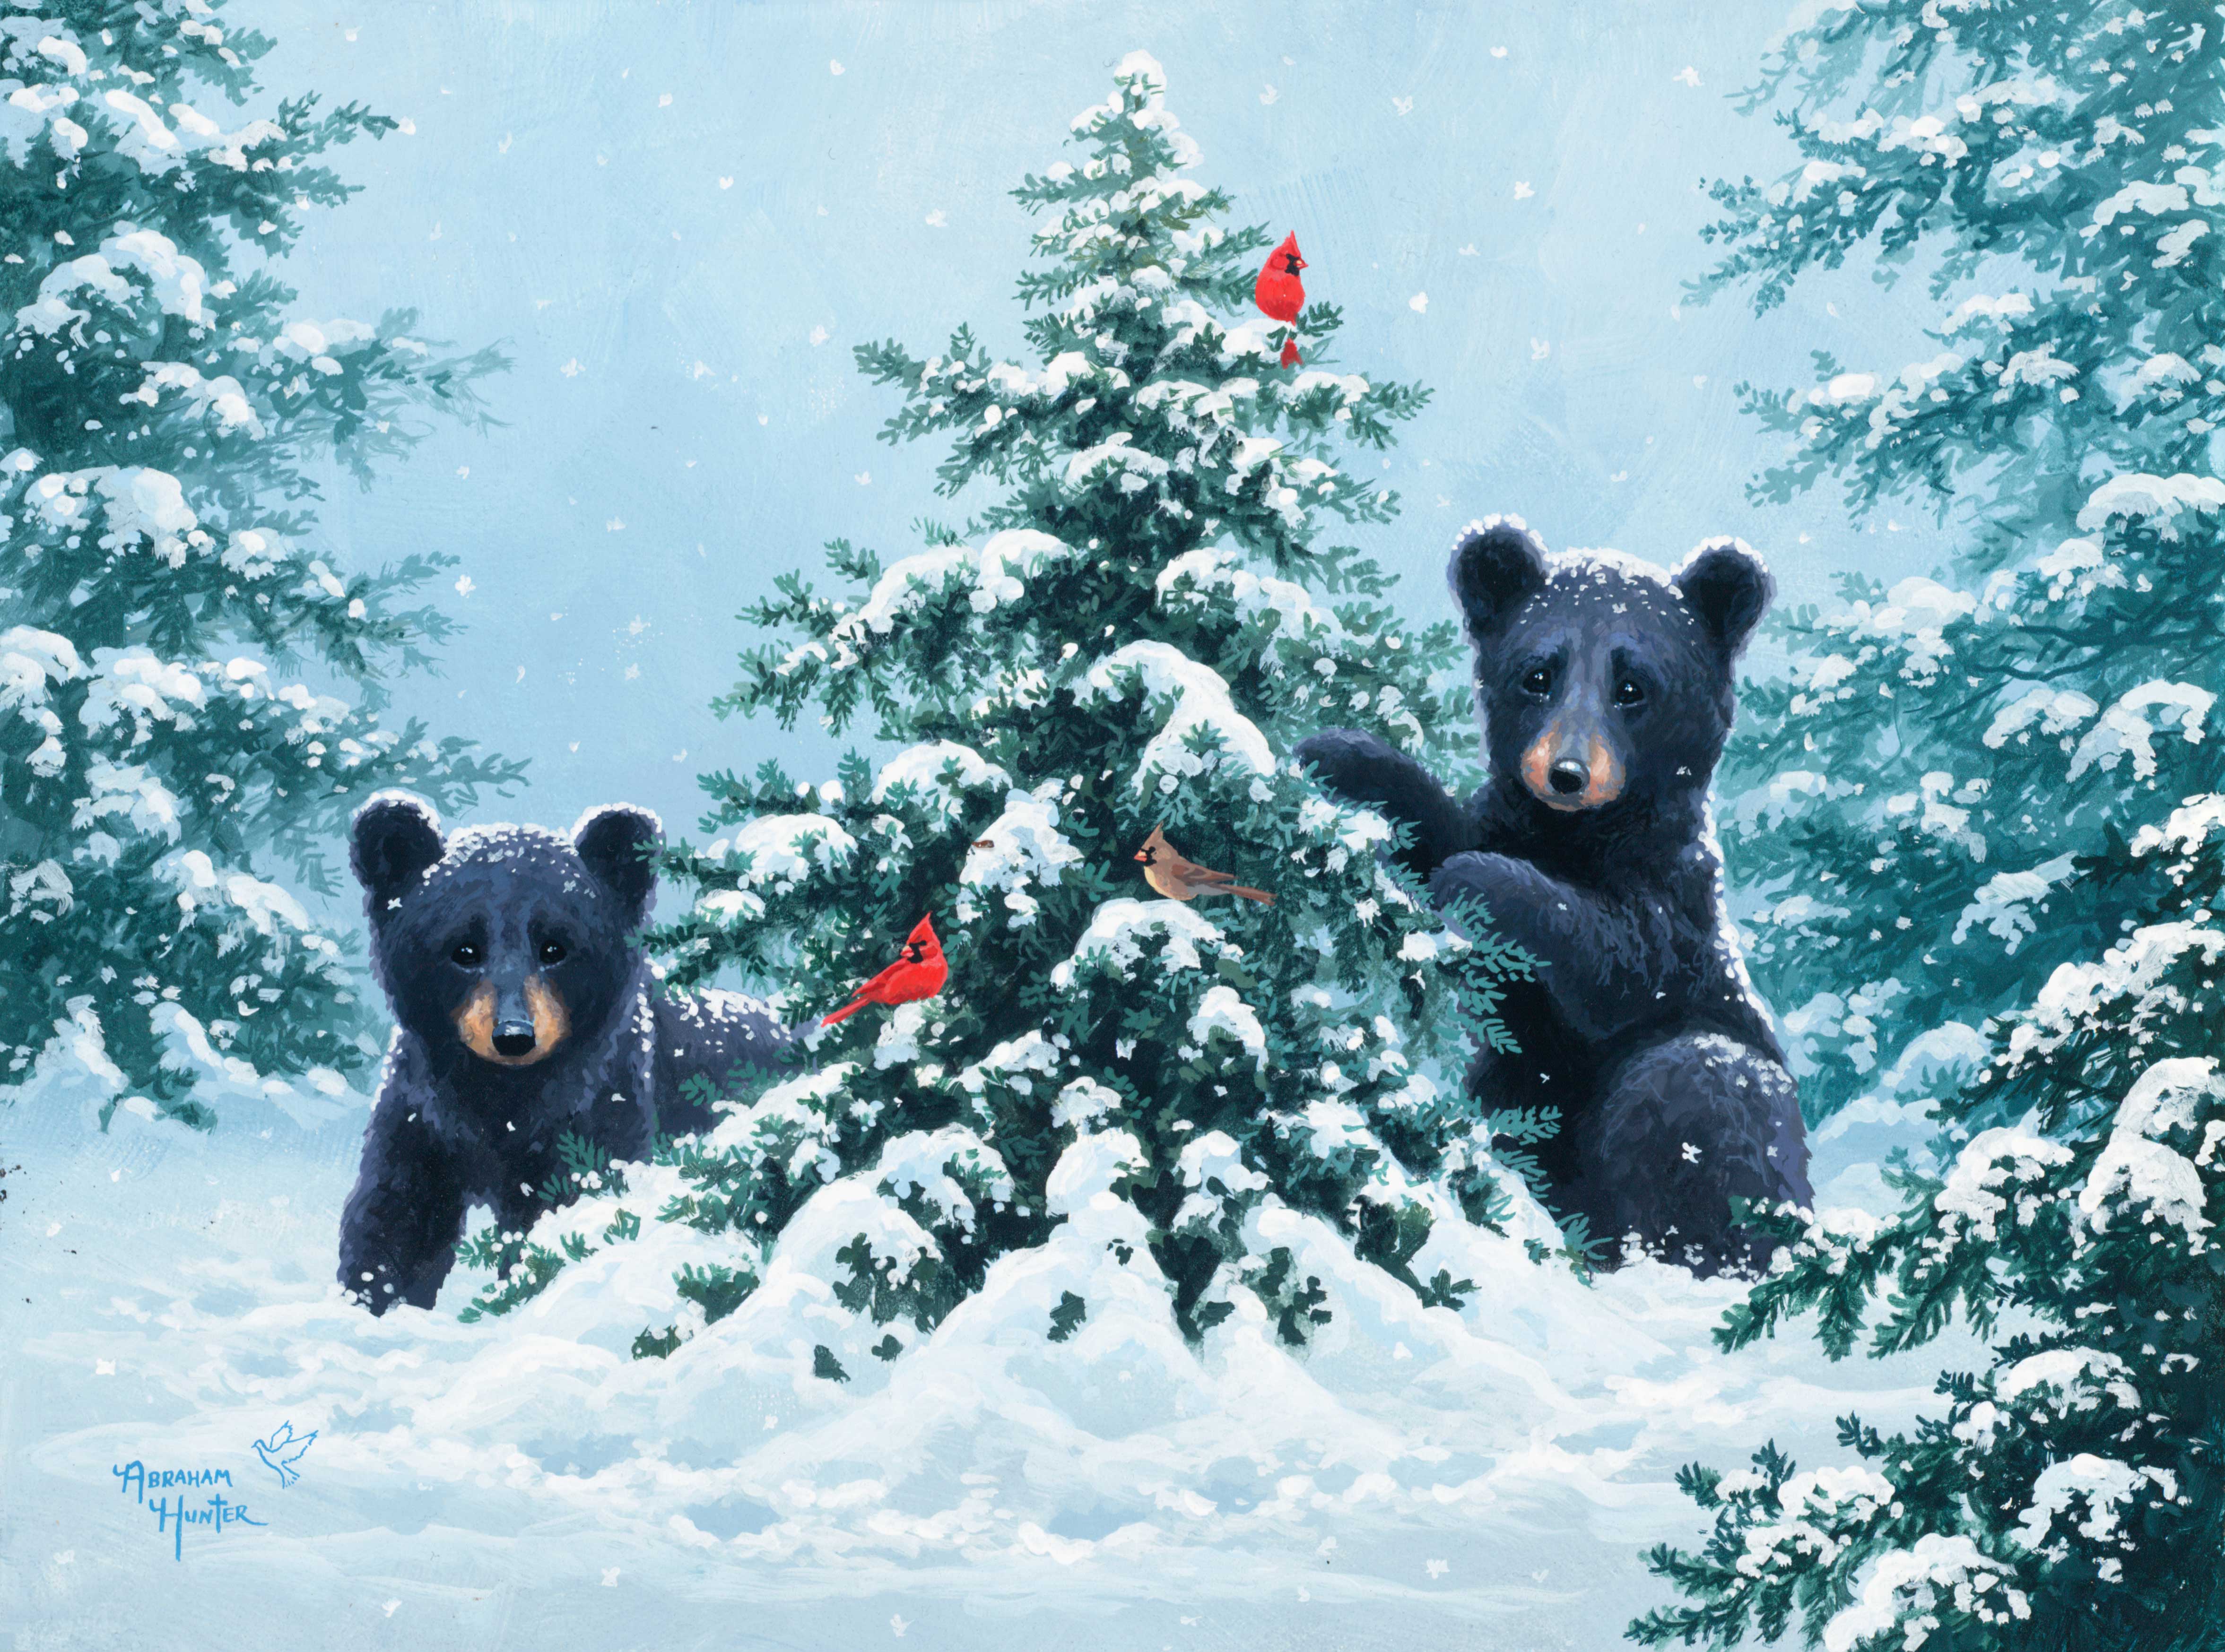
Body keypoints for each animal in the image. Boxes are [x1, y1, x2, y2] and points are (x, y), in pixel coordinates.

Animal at [337, 792, 789, 1314]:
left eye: (555, 947)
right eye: (464, 949)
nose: (514, 1035)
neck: (500, 1095)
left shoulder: (596, 1105)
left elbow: (568, 1205)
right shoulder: (423, 1114)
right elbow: (397, 1219)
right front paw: (368, 1302)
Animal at [1295, 516, 1810, 1275]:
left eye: (1632, 686)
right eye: (1537, 674)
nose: (1566, 773)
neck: (1576, 836)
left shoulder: (1675, 906)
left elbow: (1611, 961)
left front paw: (1479, 882)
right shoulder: (1510, 825)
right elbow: (1438, 836)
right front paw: (1342, 754)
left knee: (1700, 1090)